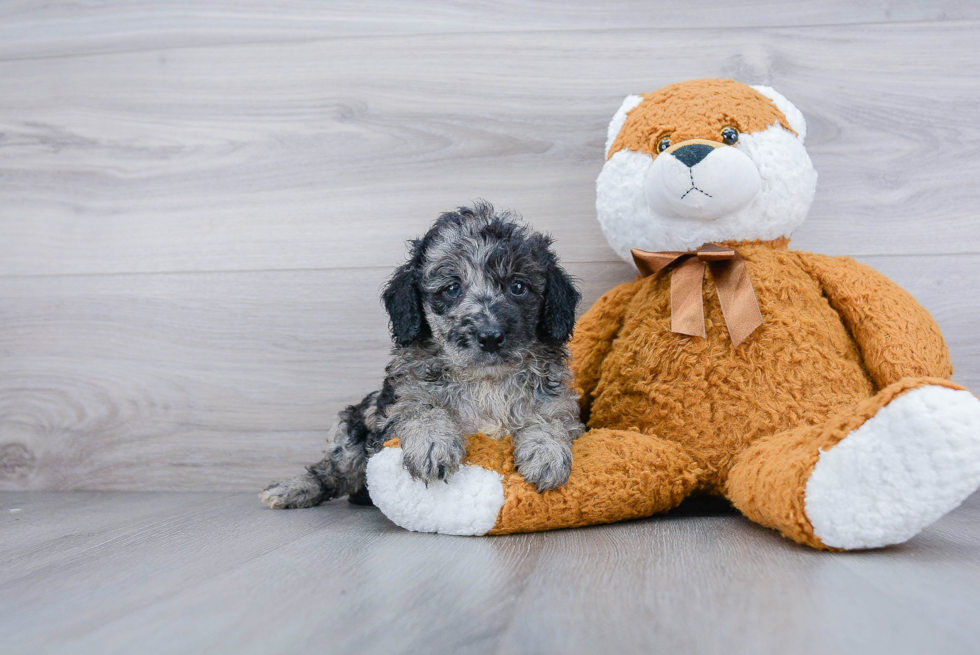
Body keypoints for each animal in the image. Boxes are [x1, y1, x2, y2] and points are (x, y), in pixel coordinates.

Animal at [258, 202, 580, 510]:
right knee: (333, 473)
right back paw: (294, 489)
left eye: (518, 287)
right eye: (452, 288)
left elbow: (550, 418)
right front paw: (433, 443)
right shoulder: (395, 405)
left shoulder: (561, 407)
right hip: (350, 429)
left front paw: (546, 451)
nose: (490, 337)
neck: (485, 380)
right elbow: (421, 407)